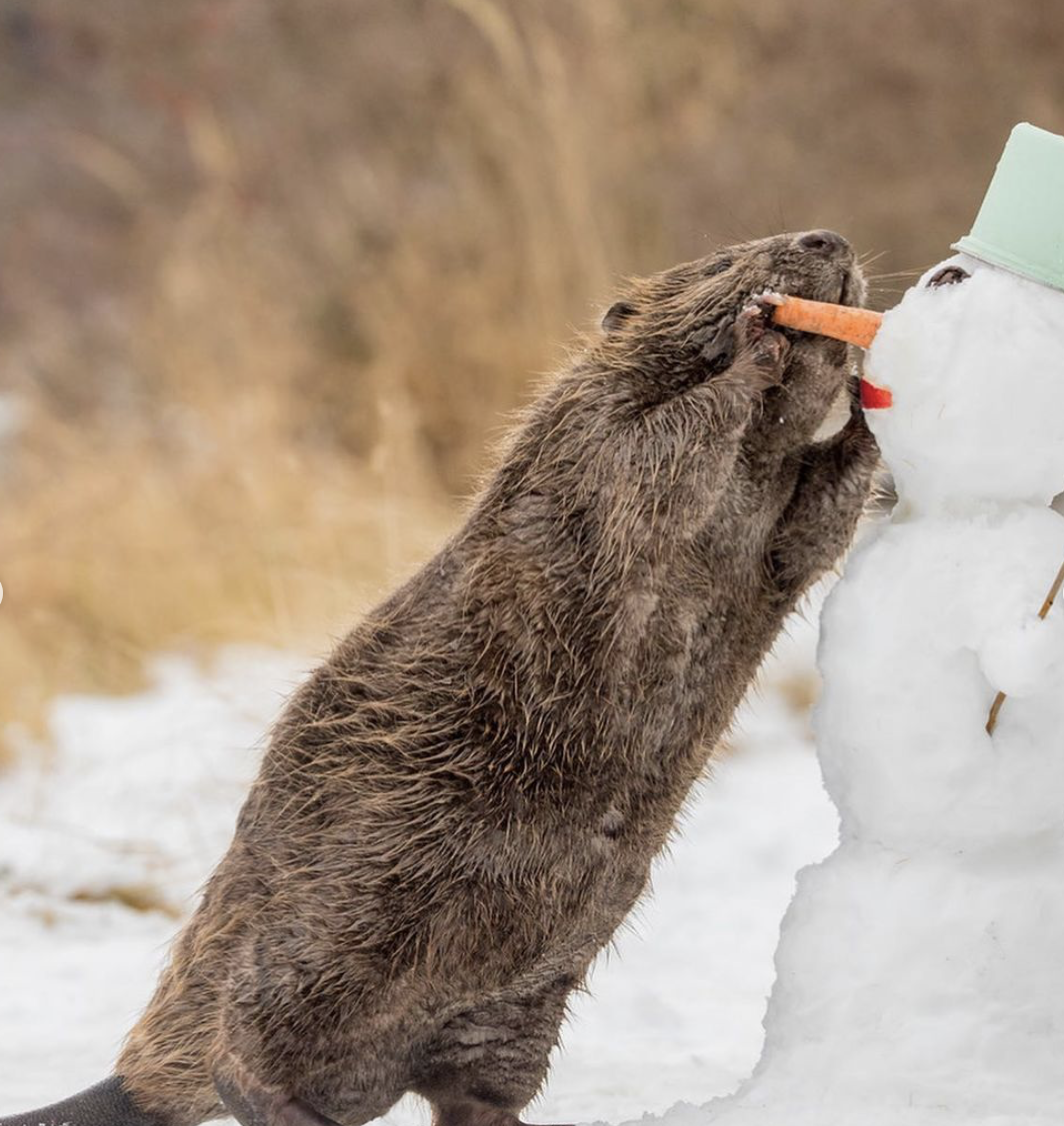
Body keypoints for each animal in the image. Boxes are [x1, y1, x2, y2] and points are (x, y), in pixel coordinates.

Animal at [0, 226, 878, 1126]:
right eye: (723, 260)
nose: (826, 238)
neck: (758, 459)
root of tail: (133, 1084)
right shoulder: (588, 439)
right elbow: (667, 447)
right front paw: (760, 343)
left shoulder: (765, 513)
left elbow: (812, 524)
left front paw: (873, 397)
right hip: (334, 935)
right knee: (239, 1057)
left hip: (510, 1007)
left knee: (470, 1091)